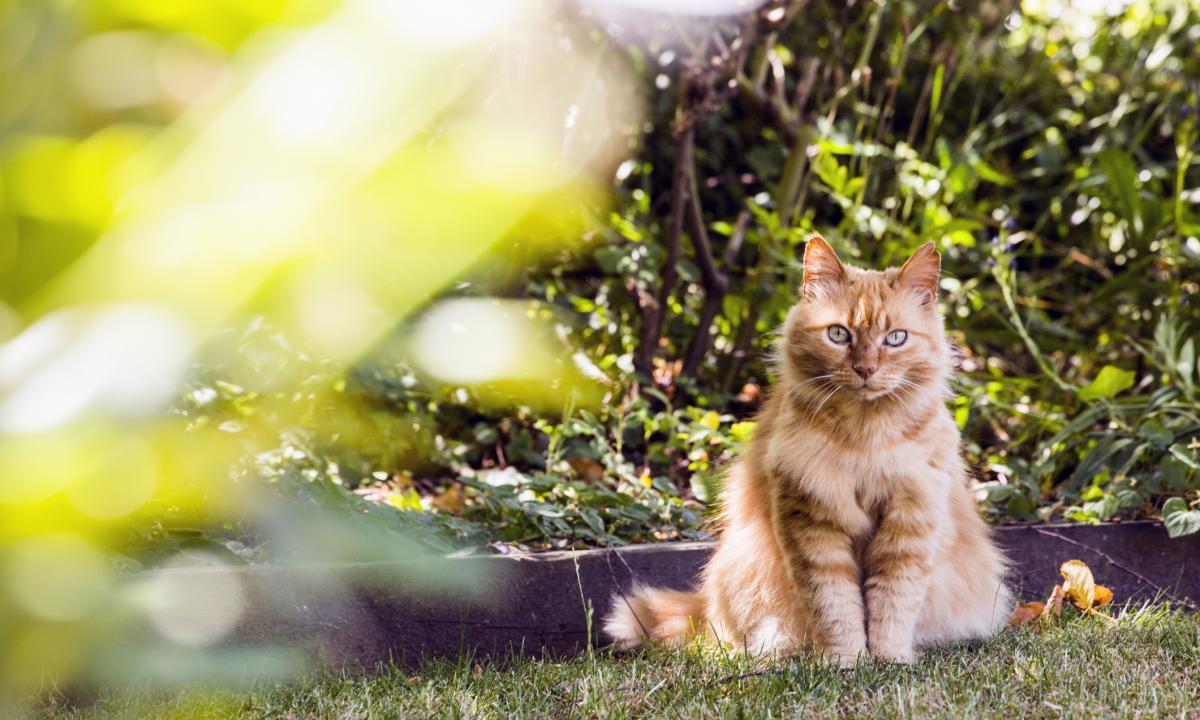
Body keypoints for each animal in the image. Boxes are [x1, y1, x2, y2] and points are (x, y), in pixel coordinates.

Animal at [604, 235, 1008, 662]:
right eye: (839, 335)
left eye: (895, 338)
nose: (866, 370)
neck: (864, 439)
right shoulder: (813, 522)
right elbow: (837, 607)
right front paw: (847, 663)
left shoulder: (909, 524)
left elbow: (892, 605)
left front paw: (890, 660)